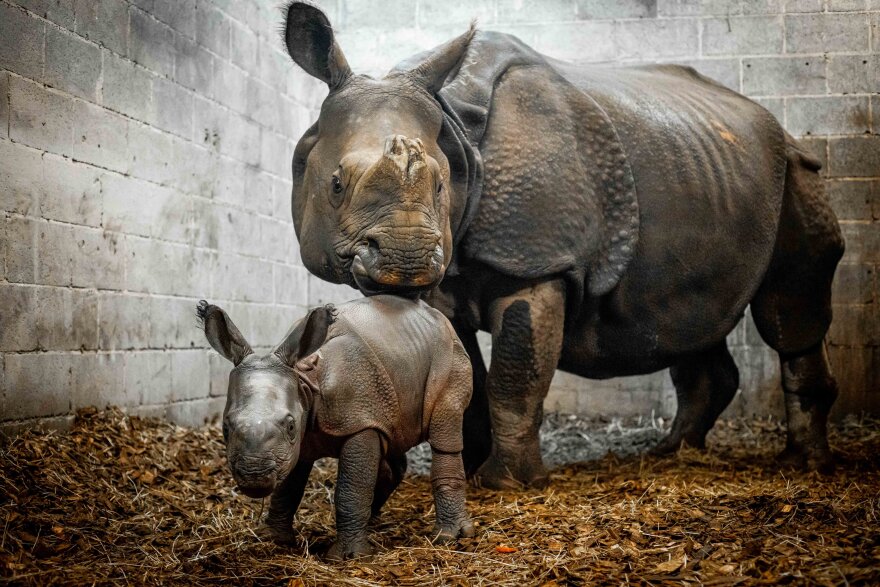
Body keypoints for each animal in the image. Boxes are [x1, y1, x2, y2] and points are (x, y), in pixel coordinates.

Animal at [280, 3, 845, 488]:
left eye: (441, 187)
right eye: (335, 184)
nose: (407, 259)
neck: (457, 131)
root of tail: (780, 129)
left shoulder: (539, 263)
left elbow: (515, 372)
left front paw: (505, 484)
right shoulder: (450, 277)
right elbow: (465, 375)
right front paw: (471, 467)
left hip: (796, 172)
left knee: (787, 305)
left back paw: (803, 466)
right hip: (707, 169)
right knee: (693, 317)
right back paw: (673, 452)